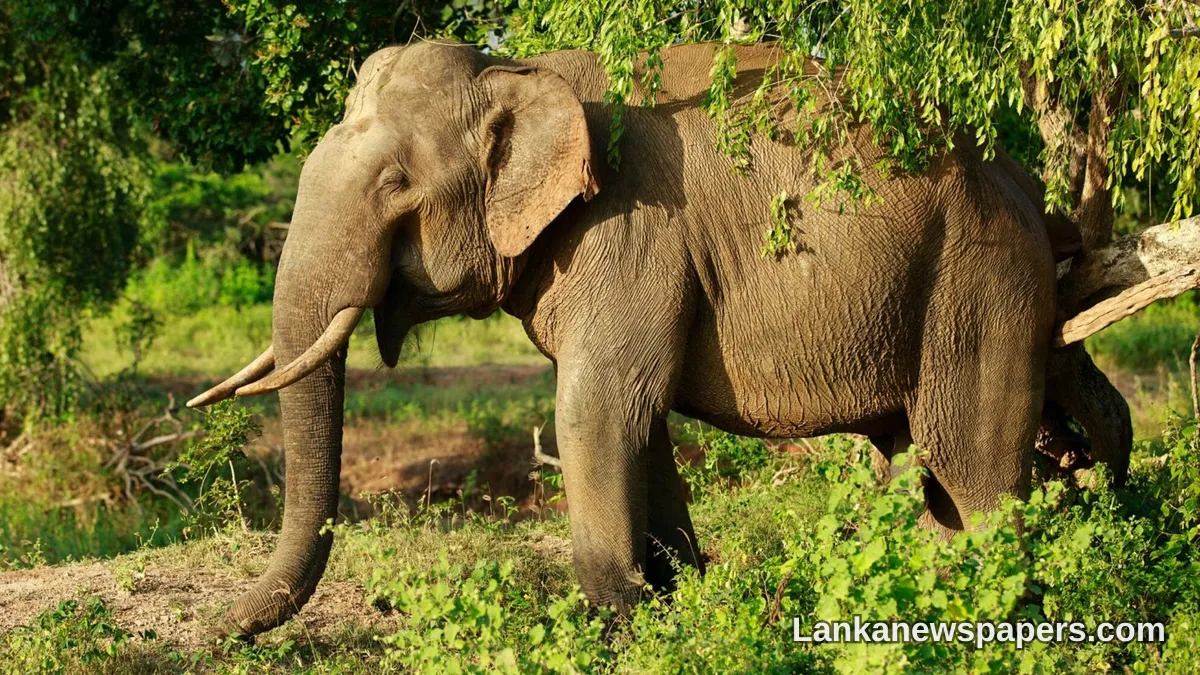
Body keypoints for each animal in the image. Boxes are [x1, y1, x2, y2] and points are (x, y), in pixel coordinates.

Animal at [188, 39, 1129, 636]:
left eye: (394, 184)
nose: (220, 631)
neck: (526, 69)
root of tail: (1026, 187)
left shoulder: (632, 231)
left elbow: (596, 409)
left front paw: (624, 617)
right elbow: (638, 422)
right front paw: (681, 598)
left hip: (979, 285)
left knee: (972, 471)